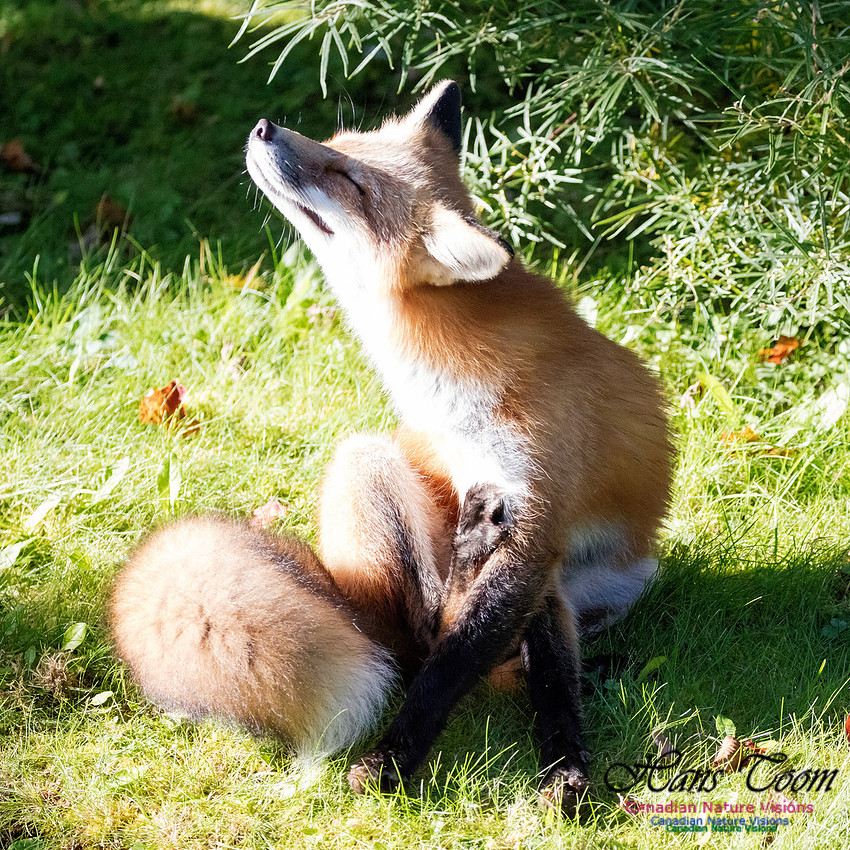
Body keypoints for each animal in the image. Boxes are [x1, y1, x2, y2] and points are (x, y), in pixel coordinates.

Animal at [110, 80, 672, 815]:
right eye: (339, 144)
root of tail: (347, 603)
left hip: (626, 578)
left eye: (349, 180)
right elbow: (452, 659)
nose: (264, 128)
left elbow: (499, 663)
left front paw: (563, 765)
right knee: (420, 637)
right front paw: (398, 758)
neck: (446, 383)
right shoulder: (514, 511)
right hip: (366, 462)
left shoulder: (539, 514)